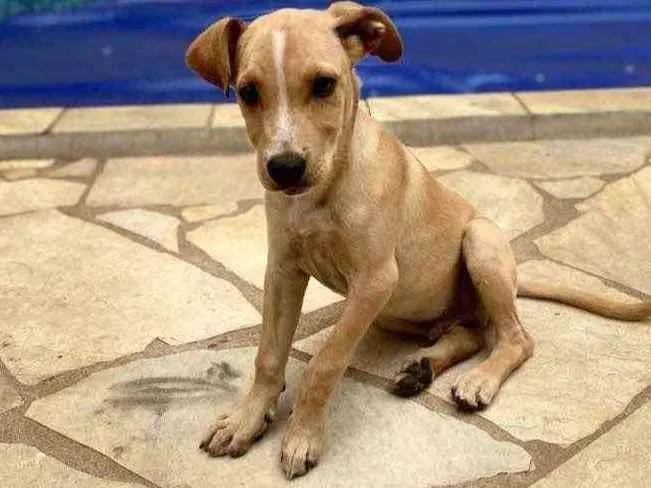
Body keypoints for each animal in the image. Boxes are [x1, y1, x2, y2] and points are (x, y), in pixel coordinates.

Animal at [186, 1, 651, 479]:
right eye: (247, 92)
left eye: (325, 85)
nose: (284, 168)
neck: (326, 188)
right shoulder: (283, 271)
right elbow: (267, 355)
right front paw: (245, 420)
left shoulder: (374, 280)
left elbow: (325, 362)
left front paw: (303, 436)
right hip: (398, 311)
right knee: (471, 333)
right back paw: (422, 369)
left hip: (479, 243)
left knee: (515, 338)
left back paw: (478, 380)